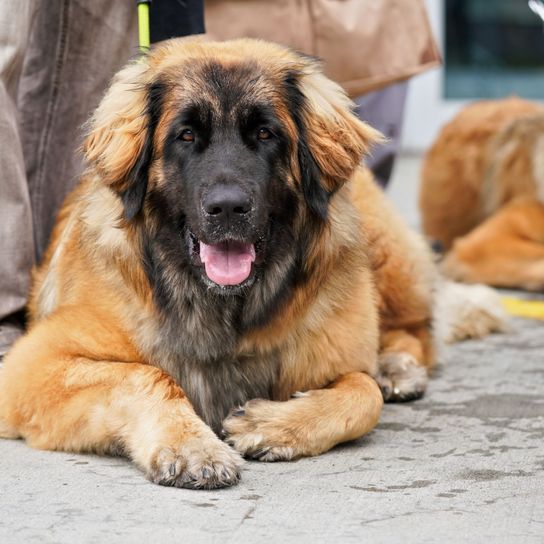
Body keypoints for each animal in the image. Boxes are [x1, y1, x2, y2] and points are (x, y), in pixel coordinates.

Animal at [0, 38, 438, 488]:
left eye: (264, 133)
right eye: (187, 135)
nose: (227, 208)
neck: (224, 307)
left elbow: (364, 393)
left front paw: (268, 424)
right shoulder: (33, 366)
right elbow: (145, 374)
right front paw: (192, 447)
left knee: (414, 330)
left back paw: (396, 369)